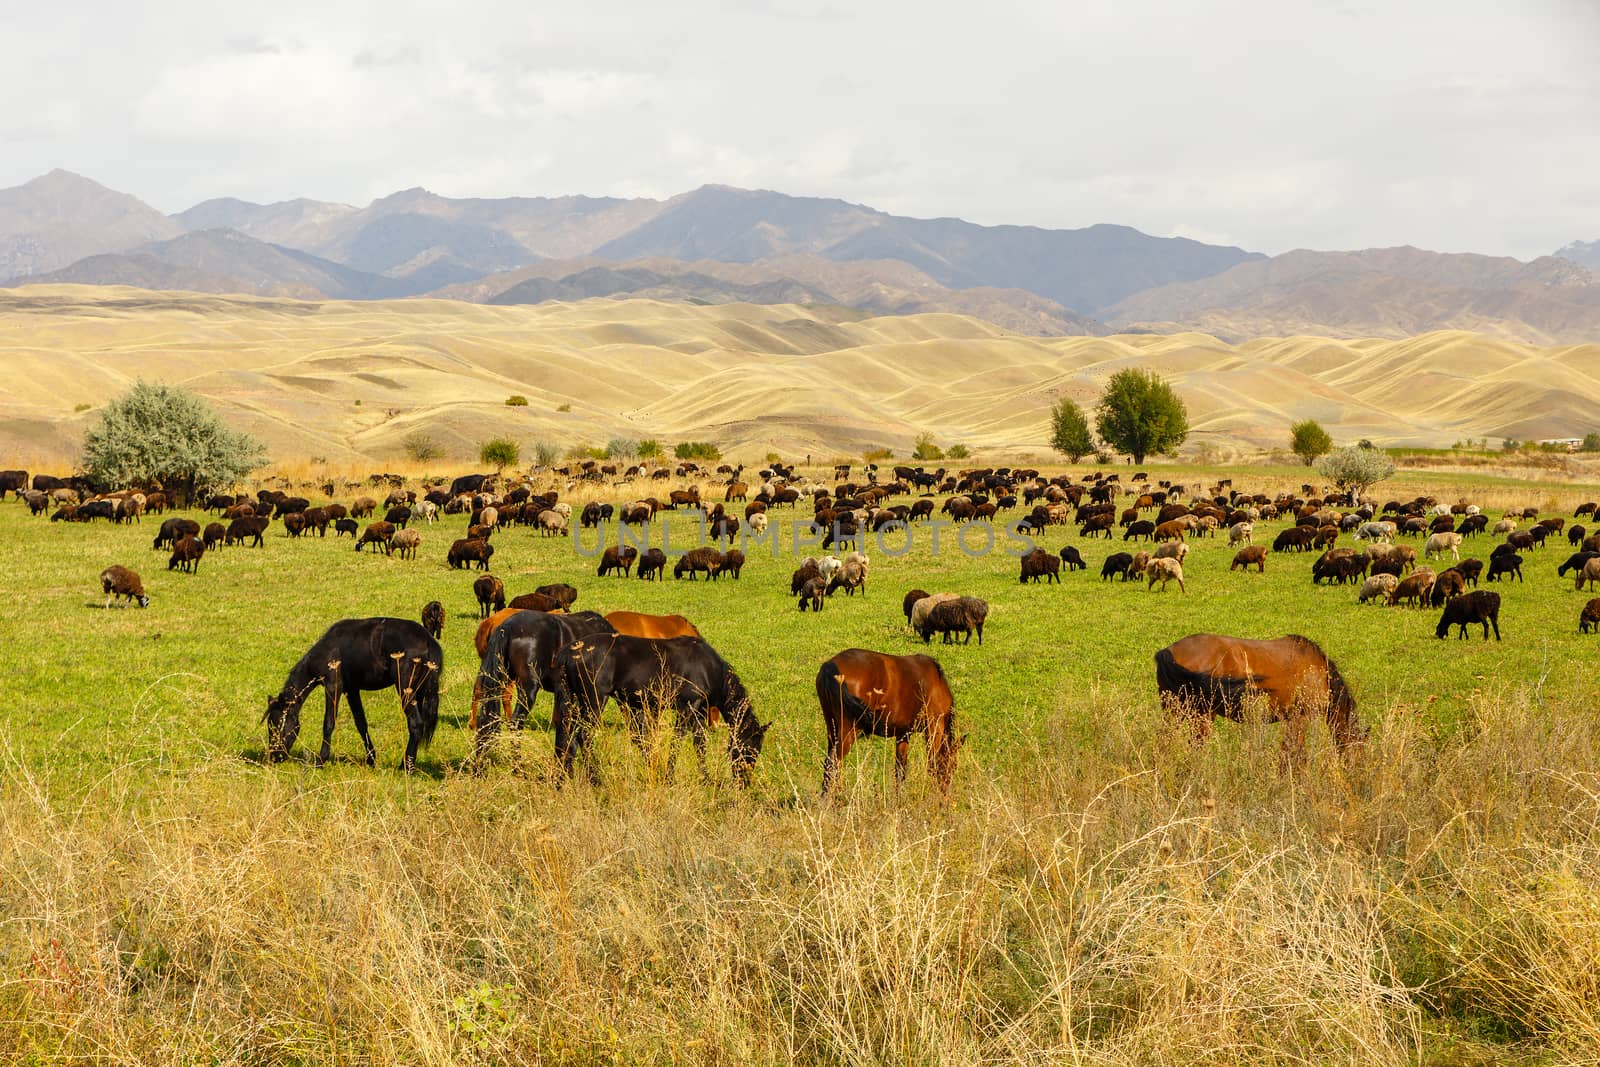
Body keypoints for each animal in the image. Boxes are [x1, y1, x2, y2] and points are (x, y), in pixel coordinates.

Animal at [264, 617, 441, 777]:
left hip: (405, 690)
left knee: (416, 724)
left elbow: (328, 723)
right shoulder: (352, 690)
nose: (274, 756)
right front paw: (371, 759)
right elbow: (361, 724)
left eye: (277, 724)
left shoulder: (333, 687)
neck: (328, 651)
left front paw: (321, 760)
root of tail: (429, 641)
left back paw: (406, 766)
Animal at [556, 633, 768, 783]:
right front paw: (669, 777)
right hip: (594, 700)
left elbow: (700, 744)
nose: (744, 781)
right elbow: (677, 741)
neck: (709, 668)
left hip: (573, 700)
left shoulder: (699, 711)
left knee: (569, 735)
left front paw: (705, 777)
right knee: (584, 735)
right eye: (750, 748)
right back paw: (595, 778)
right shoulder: (687, 707)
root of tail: (569, 651)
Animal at [812, 643, 960, 799]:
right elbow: (932, 763)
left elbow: (900, 770)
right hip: (848, 731)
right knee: (833, 763)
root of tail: (830, 665)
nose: (945, 793)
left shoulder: (903, 733)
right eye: (953, 766)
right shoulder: (934, 727)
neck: (938, 683)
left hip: (832, 729)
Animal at [1152, 633, 1363, 758]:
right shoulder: (1299, 717)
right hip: (1200, 715)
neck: (1317, 670)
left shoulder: (1290, 719)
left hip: (1174, 711)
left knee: (1164, 742)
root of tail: (1167, 651)